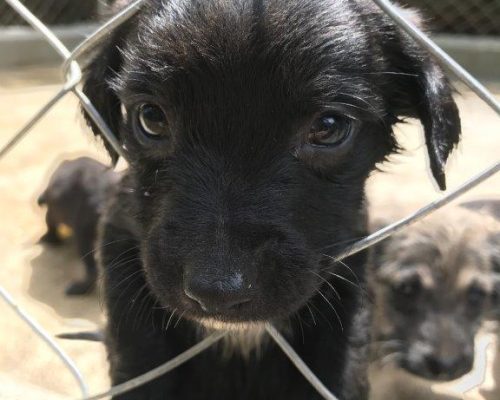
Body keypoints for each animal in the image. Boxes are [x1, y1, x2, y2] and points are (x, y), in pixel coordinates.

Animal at [81, 1, 460, 398]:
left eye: (329, 126)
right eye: (151, 117)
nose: (216, 291)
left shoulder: (348, 284)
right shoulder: (121, 246)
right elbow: (140, 360)